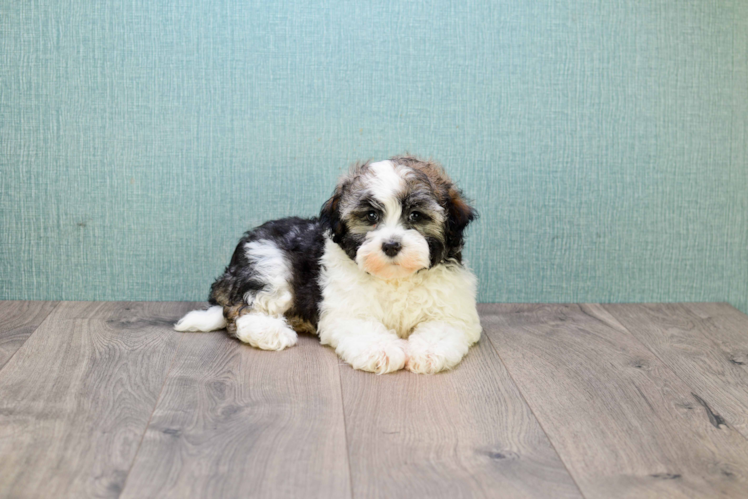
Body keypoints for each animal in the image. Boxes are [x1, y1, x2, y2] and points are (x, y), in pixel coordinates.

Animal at [175, 157, 480, 376]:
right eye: (371, 216)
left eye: (416, 215)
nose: (391, 245)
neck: (395, 278)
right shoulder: (346, 311)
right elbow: (364, 328)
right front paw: (381, 352)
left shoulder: (452, 311)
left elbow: (442, 328)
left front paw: (427, 354)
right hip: (268, 263)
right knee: (241, 310)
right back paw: (271, 332)